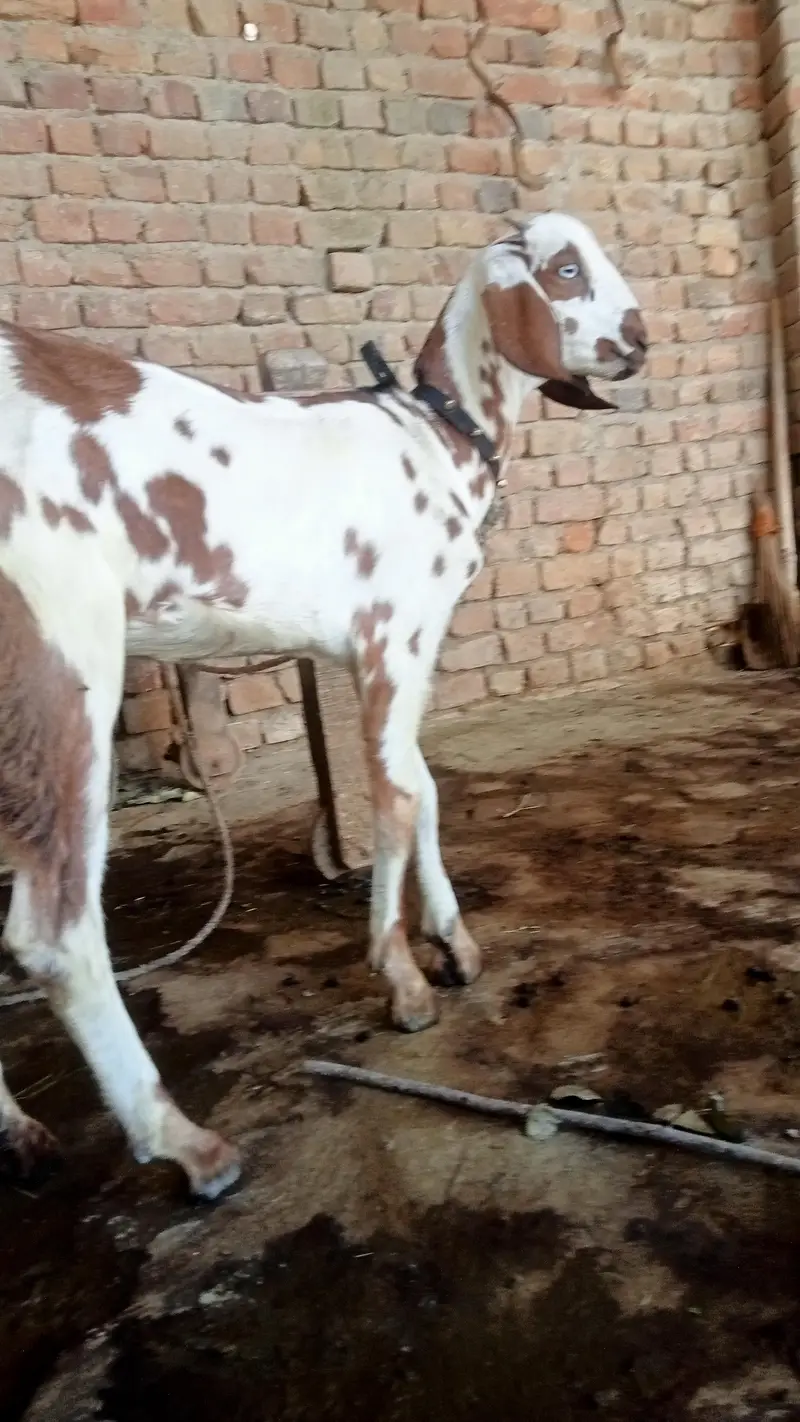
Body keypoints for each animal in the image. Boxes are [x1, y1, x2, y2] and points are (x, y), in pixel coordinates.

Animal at [0, 213, 645, 1198]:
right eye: (567, 269)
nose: (640, 339)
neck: (435, 438)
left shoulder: (403, 645)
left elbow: (422, 785)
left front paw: (453, 942)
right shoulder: (390, 636)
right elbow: (394, 800)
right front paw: (402, 976)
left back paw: (19, 1132)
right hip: (58, 649)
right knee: (55, 931)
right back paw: (187, 1143)